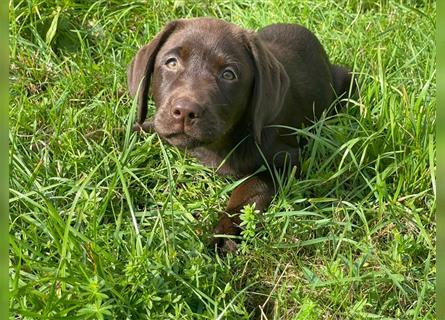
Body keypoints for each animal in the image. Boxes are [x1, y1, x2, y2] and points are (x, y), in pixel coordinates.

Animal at [126, 16, 352, 250]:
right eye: (171, 62)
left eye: (228, 74)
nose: (186, 111)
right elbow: (145, 126)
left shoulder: (286, 160)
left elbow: (249, 191)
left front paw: (225, 231)